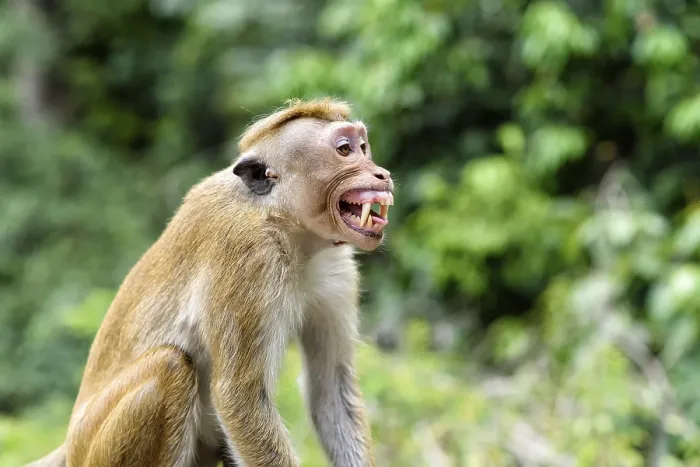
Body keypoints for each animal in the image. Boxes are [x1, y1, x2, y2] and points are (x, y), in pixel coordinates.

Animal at [27, 97, 394, 467]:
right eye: (344, 150)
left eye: (363, 147)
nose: (382, 174)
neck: (281, 220)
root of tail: (70, 444)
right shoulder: (249, 257)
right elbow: (239, 398)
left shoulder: (337, 269)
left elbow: (330, 387)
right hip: (97, 449)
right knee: (170, 366)